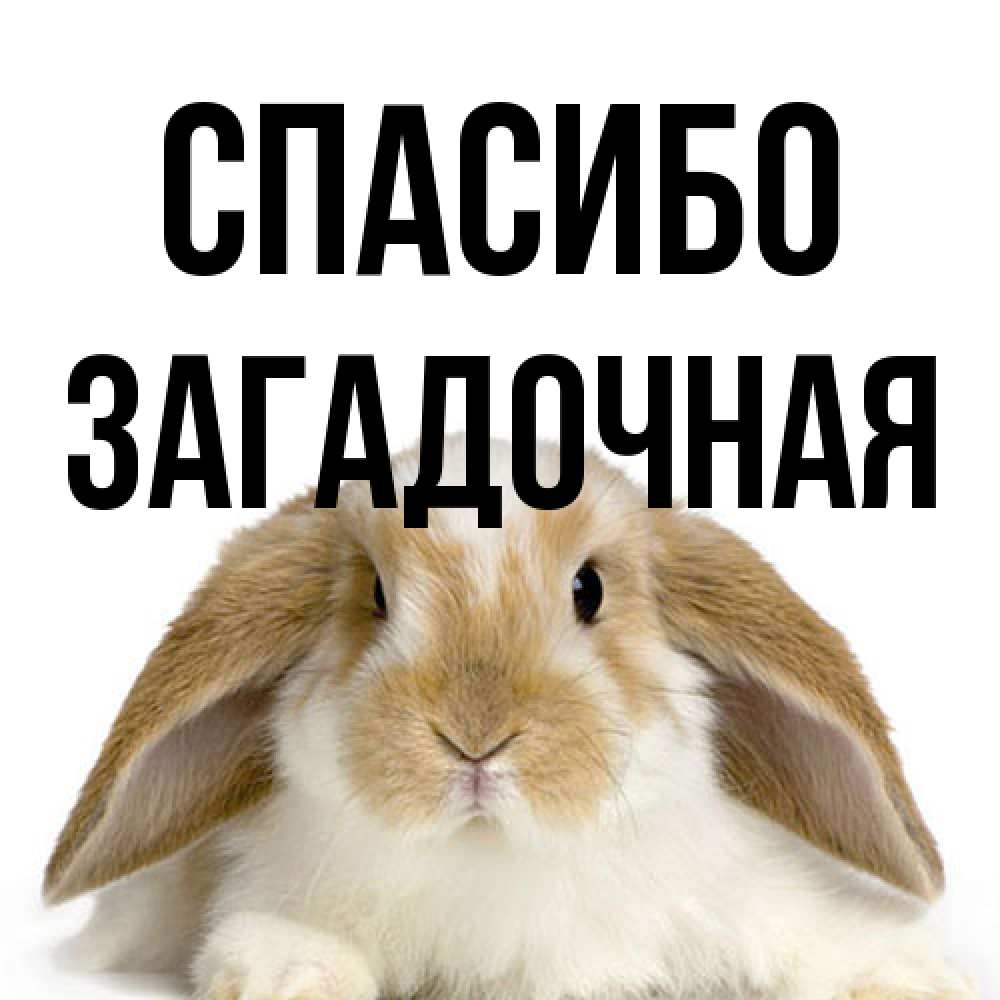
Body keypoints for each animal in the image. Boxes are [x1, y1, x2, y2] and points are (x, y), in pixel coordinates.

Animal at [45, 436, 975, 1000]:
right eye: (375, 596)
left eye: (589, 589)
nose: (475, 737)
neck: (495, 857)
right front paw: (290, 976)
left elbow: (816, 939)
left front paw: (909, 978)